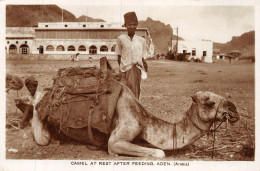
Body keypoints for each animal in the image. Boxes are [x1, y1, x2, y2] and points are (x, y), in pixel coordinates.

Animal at [31, 84, 240, 158]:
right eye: (210, 103)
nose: (234, 110)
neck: (145, 120)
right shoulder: (119, 136)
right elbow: (159, 153)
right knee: (41, 132)